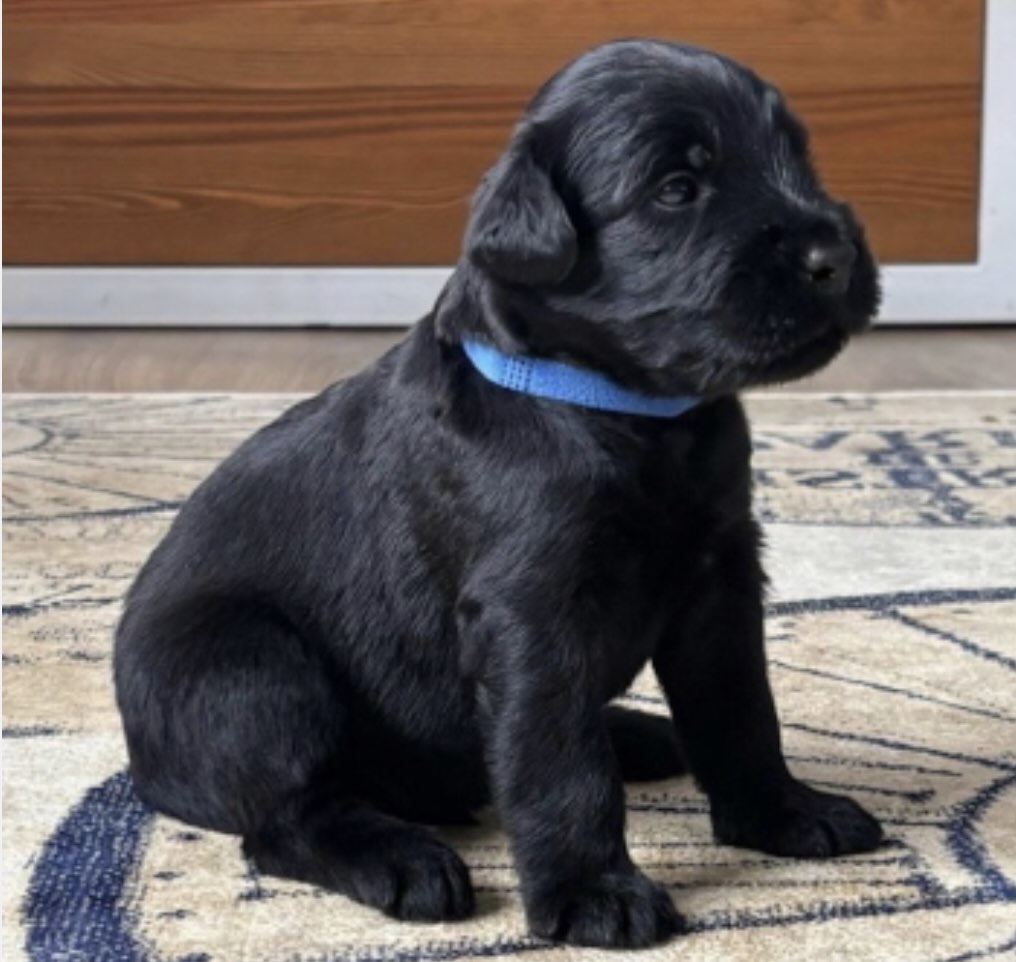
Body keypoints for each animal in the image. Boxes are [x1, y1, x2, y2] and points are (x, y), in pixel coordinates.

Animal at [114, 39, 883, 948]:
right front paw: (594, 892)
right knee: (289, 817)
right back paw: (402, 859)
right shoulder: (533, 608)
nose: (834, 257)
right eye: (676, 189)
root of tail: (146, 767)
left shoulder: (721, 577)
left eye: (796, 154)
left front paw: (784, 812)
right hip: (249, 667)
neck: (621, 410)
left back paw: (635, 735)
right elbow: (558, 761)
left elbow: (741, 708)